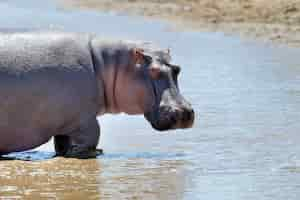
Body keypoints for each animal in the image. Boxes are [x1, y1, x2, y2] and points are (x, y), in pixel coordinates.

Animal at [0, 32, 195, 159]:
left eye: (177, 69)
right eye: (153, 71)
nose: (185, 111)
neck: (105, 63)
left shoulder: (67, 123)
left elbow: (62, 143)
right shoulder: (84, 120)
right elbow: (93, 135)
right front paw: (92, 153)